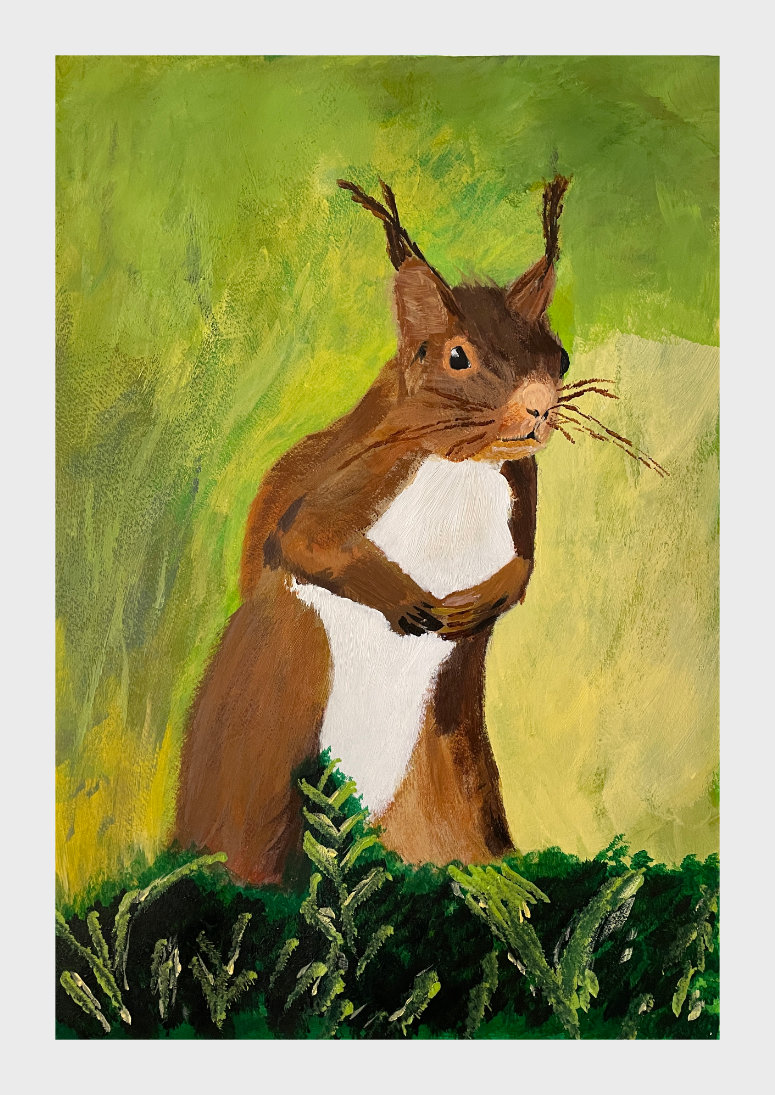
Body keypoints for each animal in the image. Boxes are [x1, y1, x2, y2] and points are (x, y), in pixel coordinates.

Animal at [175, 175, 575, 886]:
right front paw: (409, 602)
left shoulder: (522, 491)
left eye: (558, 357)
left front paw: (474, 607)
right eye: (457, 357)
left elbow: (522, 570)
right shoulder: (358, 478)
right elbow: (302, 540)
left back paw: (484, 874)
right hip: (265, 729)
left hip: (445, 771)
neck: (460, 467)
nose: (538, 407)